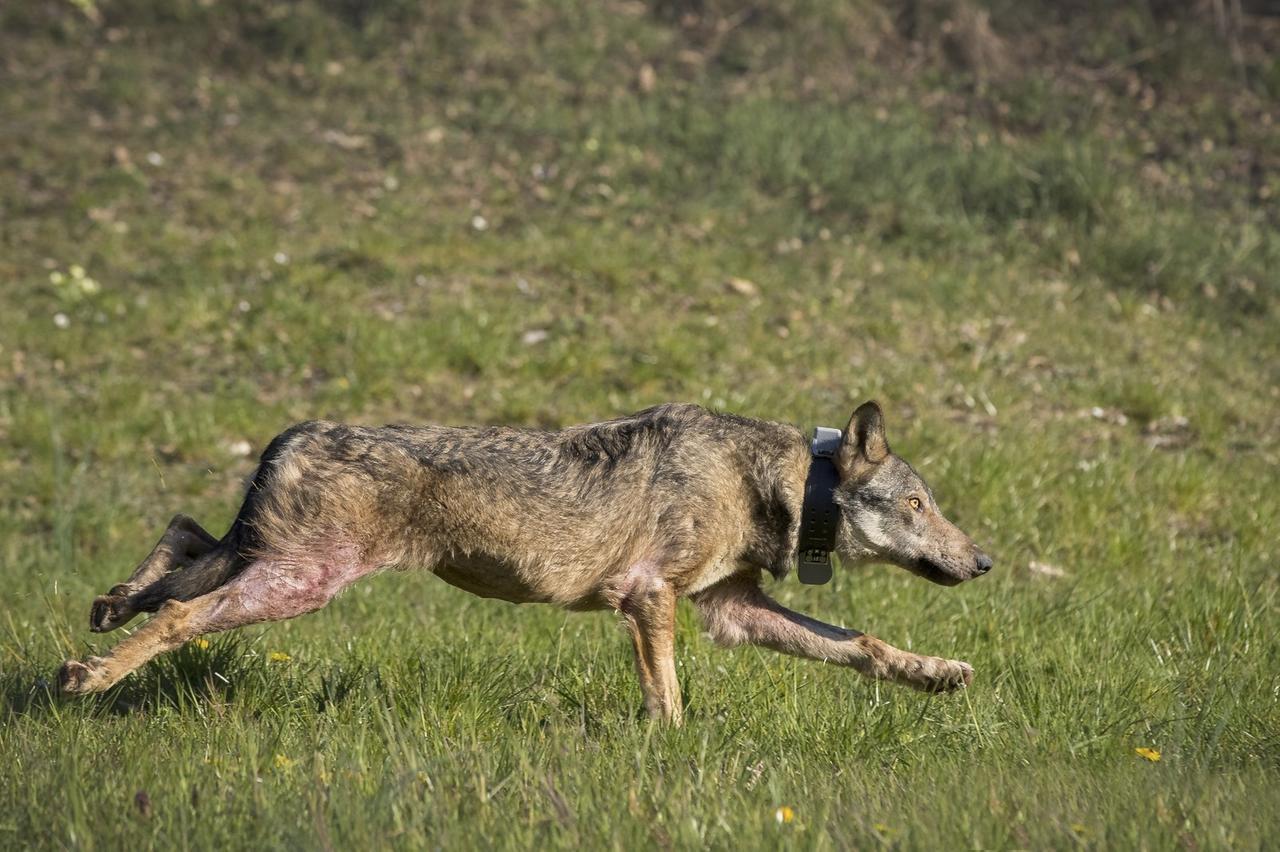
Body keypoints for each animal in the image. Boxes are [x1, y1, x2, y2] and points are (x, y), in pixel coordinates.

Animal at [59, 401, 992, 722]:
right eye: (919, 506)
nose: (983, 561)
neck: (776, 481)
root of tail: (291, 435)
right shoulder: (648, 595)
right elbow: (670, 704)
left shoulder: (732, 610)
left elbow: (861, 644)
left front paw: (937, 673)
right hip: (296, 583)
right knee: (179, 611)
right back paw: (89, 678)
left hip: (263, 562)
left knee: (177, 542)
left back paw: (106, 614)